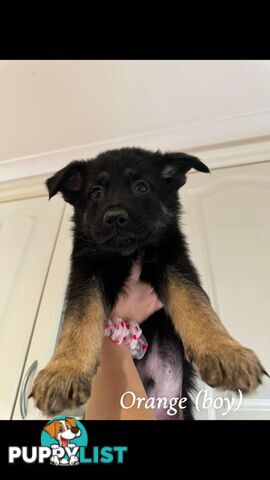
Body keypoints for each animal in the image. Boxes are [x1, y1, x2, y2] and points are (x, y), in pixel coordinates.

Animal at [30, 148, 266, 418]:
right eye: (96, 192)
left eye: (142, 187)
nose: (114, 218)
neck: (127, 254)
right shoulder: (86, 275)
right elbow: (78, 320)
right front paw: (64, 370)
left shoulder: (174, 263)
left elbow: (196, 305)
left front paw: (225, 351)